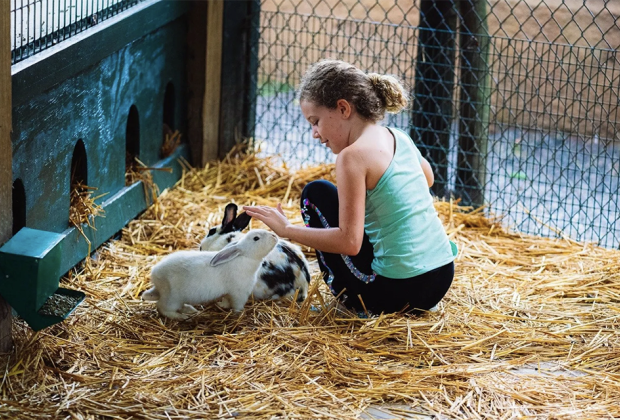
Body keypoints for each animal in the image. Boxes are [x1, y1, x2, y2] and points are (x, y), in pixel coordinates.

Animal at [142, 230, 278, 318]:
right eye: (256, 238)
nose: (274, 236)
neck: (244, 256)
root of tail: (155, 276)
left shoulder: (229, 293)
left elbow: (226, 301)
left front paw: (221, 305)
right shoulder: (239, 294)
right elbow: (237, 305)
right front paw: (238, 314)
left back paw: (189, 310)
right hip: (172, 298)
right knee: (162, 307)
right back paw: (181, 317)